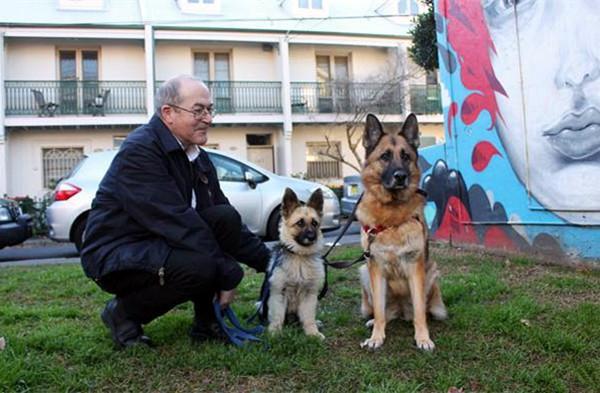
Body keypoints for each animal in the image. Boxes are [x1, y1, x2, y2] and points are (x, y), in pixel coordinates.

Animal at [266, 187, 326, 336]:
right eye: (300, 223)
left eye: (315, 223)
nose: (312, 237)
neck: (299, 256)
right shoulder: (279, 293)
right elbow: (277, 316)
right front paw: (275, 332)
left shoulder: (309, 295)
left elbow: (309, 317)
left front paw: (312, 333)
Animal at [356, 112, 446, 350]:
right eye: (385, 156)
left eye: (406, 156)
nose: (400, 176)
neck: (391, 215)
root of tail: (400, 311)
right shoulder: (375, 268)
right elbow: (379, 311)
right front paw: (376, 337)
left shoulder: (415, 268)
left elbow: (419, 312)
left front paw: (423, 338)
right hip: (364, 273)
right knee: (384, 313)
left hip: (432, 273)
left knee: (422, 310)